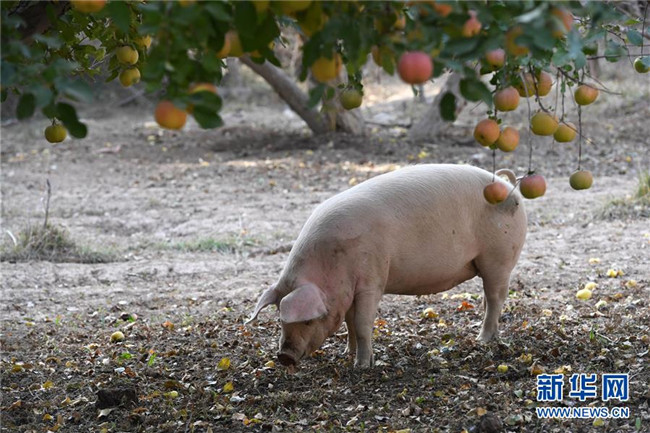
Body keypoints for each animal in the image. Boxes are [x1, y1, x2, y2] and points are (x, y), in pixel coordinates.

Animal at [247, 164, 527, 368]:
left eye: (307, 321)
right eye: (279, 319)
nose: (284, 357)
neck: (331, 262)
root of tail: (509, 186)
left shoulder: (372, 279)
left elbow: (362, 323)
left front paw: (362, 366)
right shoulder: (349, 290)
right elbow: (349, 321)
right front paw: (346, 353)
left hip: (498, 257)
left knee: (496, 297)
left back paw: (482, 340)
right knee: (489, 299)